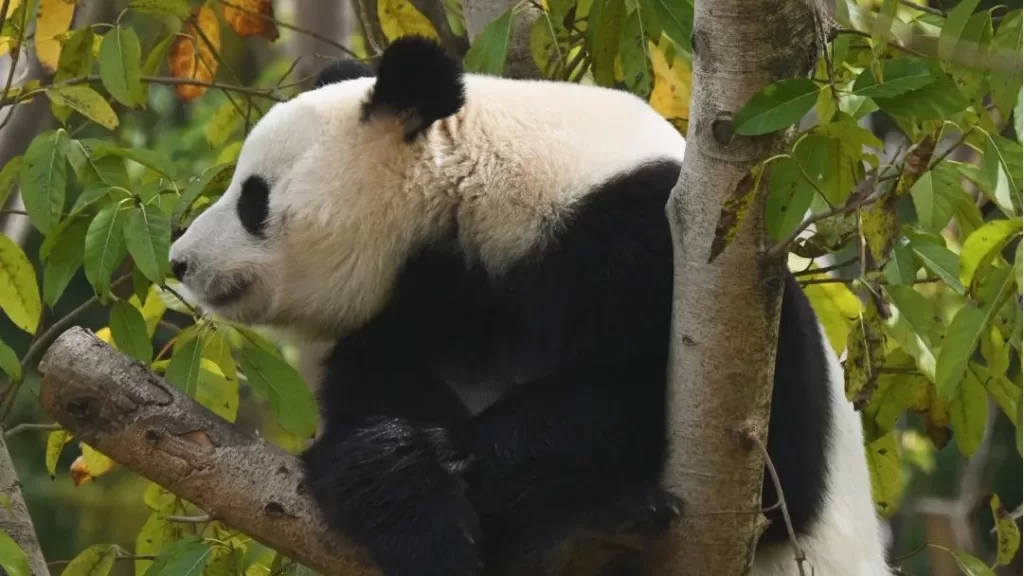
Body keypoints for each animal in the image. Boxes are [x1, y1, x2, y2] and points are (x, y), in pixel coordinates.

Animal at [168, 36, 890, 576]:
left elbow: (716, 428)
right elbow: (371, 407)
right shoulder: (410, 314)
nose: (180, 260)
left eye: (253, 198)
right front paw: (409, 494)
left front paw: (455, 455)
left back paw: (592, 531)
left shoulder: (660, 240)